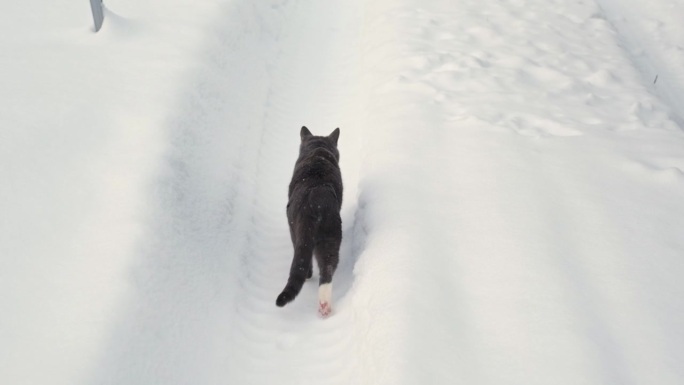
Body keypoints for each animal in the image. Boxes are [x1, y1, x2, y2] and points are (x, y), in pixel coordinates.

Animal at [276, 126, 342, 316]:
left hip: (300, 231)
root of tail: (316, 201)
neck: (317, 152)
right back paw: (324, 306)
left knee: (304, 262)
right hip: (331, 233)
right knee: (328, 267)